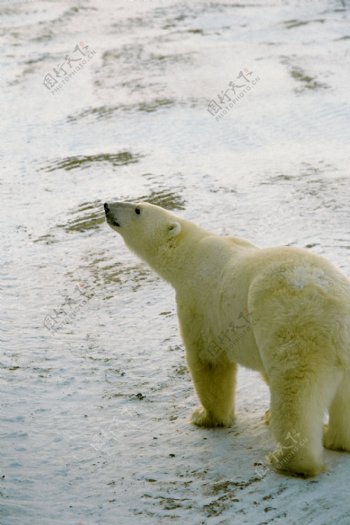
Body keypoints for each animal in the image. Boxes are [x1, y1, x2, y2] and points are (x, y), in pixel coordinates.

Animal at [104, 200, 350, 474]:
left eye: (138, 209)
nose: (106, 206)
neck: (190, 253)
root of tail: (338, 311)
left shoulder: (199, 302)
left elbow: (208, 360)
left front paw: (205, 416)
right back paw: (335, 439)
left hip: (294, 324)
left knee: (295, 392)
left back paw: (289, 460)